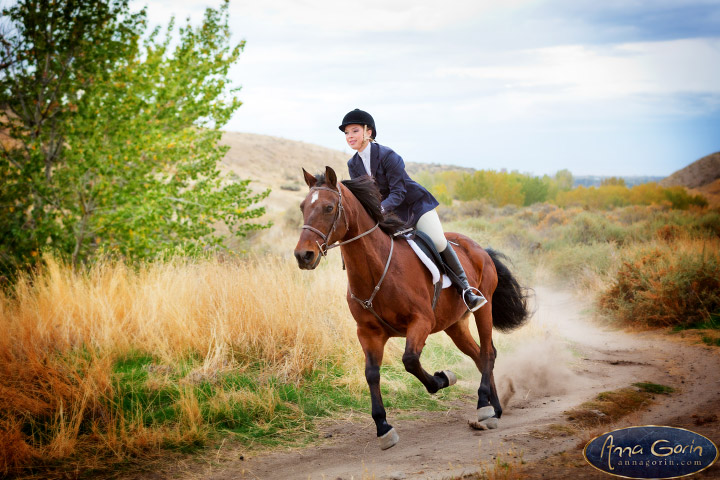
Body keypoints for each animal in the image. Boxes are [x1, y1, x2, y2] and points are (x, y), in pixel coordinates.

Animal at [292, 166, 528, 450]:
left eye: (328, 208)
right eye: (303, 206)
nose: (303, 256)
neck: (378, 270)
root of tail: (479, 248)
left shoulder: (421, 322)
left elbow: (410, 361)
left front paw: (443, 378)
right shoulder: (368, 333)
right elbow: (371, 374)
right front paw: (383, 427)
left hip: (484, 307)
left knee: (489, 352)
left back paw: (484, 406)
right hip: (454, 325)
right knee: (479, 355)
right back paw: (494, 409)